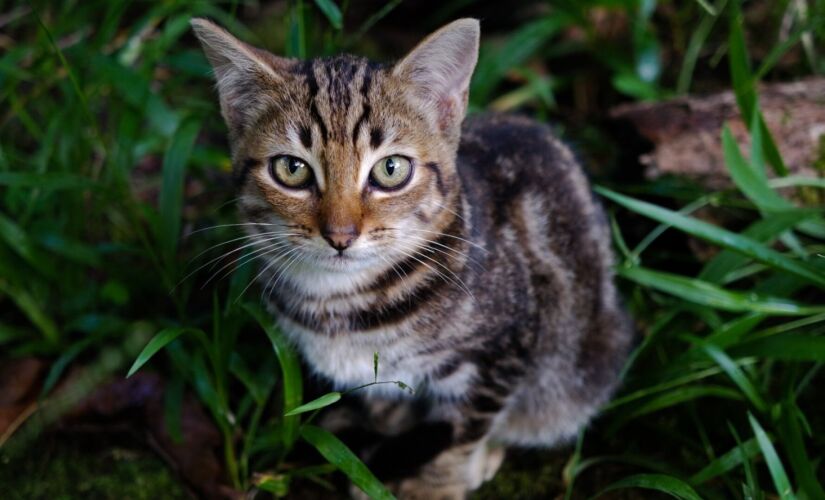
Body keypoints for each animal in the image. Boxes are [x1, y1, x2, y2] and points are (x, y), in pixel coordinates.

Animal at [192, 15, 632, 500]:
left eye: (391, 169)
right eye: (292, 169)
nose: (340, 235)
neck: (339, 303)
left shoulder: (505, 344)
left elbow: (463, 429)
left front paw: (436, 483)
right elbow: (388, 406)